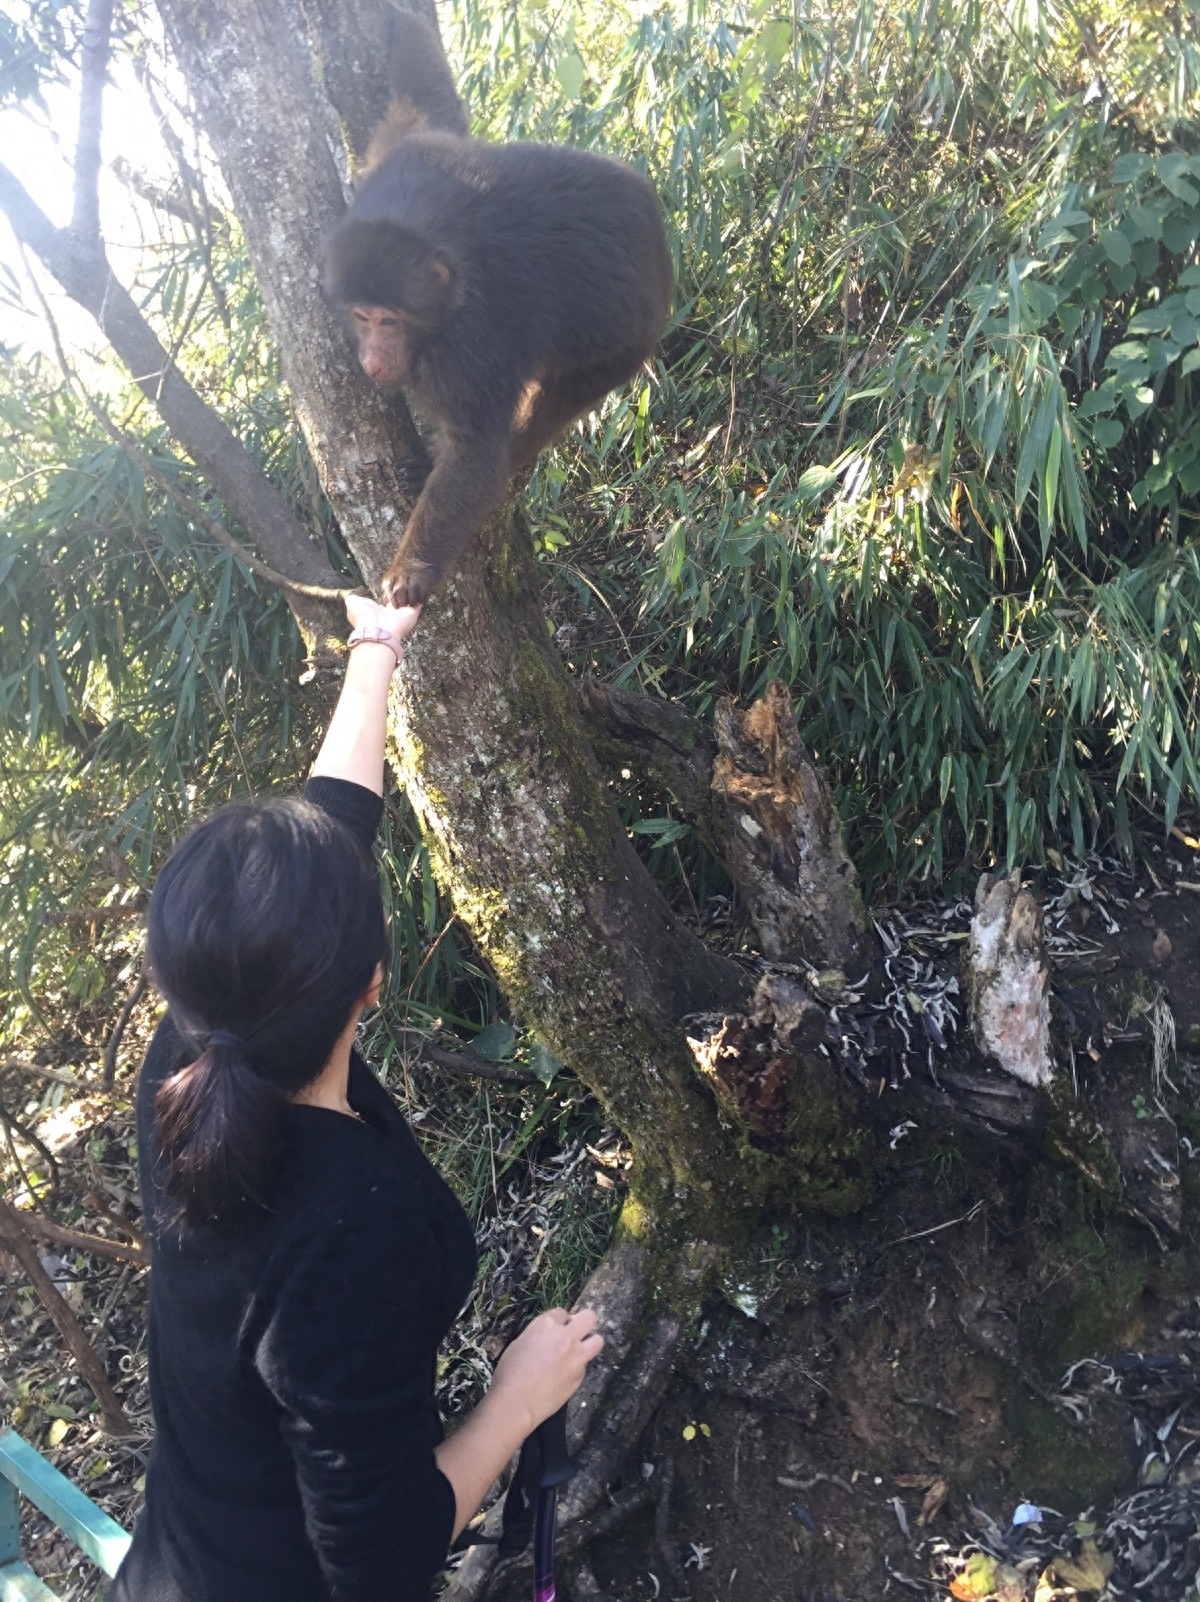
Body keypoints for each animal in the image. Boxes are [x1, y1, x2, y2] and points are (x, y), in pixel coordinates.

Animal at [318, 9, 672, 608]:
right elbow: (429, 110)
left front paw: (414, 567)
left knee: (551, 404)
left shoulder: (470, 342)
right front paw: (405, 27)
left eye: (390, 320)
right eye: (362, 316)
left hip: (626, 343)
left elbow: (476, 452)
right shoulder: (404, 158)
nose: (372, 358)